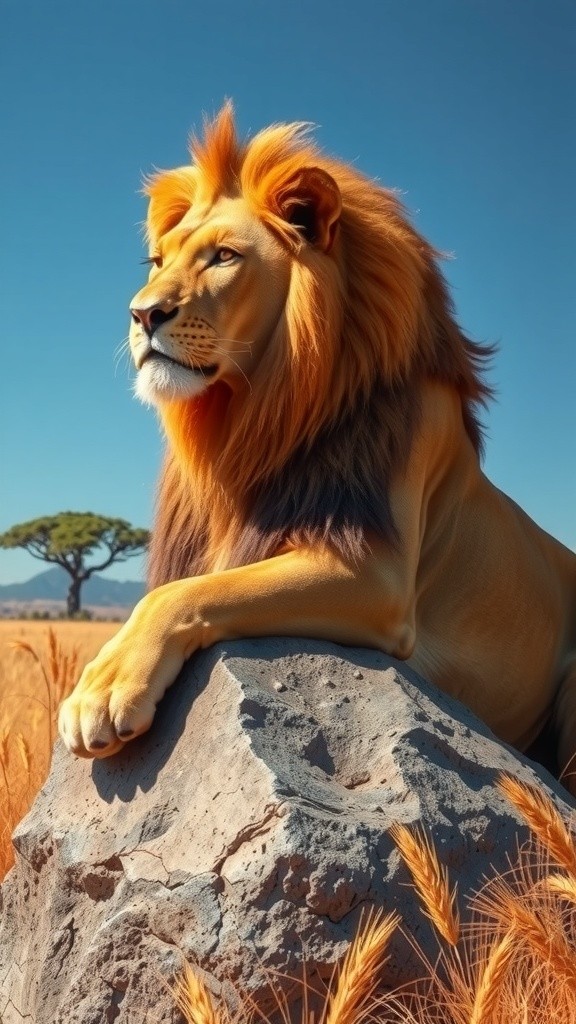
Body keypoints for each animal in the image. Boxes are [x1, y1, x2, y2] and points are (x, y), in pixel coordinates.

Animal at [58, 104, 576, 791]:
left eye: (224, 256)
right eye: (155, 261)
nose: (141, 315)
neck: (247, 421)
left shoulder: (376, 577)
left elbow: (183, 593)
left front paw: (105, 687)